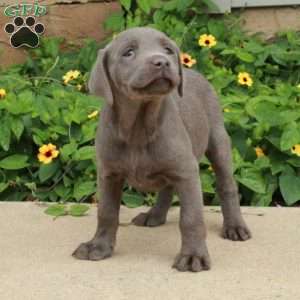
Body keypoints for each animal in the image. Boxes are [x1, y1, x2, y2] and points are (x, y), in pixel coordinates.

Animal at [72, 27, 251, 272]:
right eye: (128, 52)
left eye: (167, 50)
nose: (162, 62)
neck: (139, 125)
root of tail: (195, 72)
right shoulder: (108, 174)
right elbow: (106, 212)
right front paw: (98, 246)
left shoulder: (187, 172)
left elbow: (191, 218)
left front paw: (193, 255)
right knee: (167, 188)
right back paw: (154, 215)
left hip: (218, 141)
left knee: (227, 186)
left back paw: (235, 226)